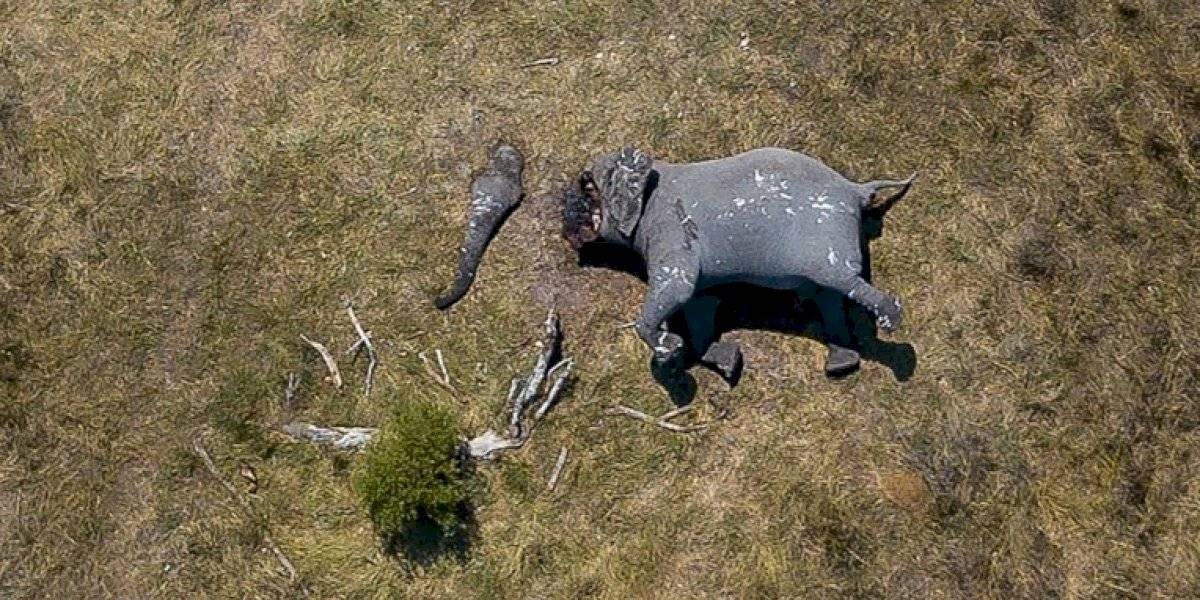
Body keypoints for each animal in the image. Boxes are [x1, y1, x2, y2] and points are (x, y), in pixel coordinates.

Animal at [562, 146, 915, 377]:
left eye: (587, 184)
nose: (563, 221)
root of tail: (857, 190)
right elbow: (699, 304)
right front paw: (726, 362)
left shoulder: (671, 227)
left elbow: (678, 289)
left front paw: (670, 349)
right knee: (827, 297)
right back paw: (841, 363)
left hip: (827, 242)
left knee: (844, 283)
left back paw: (891, 322)